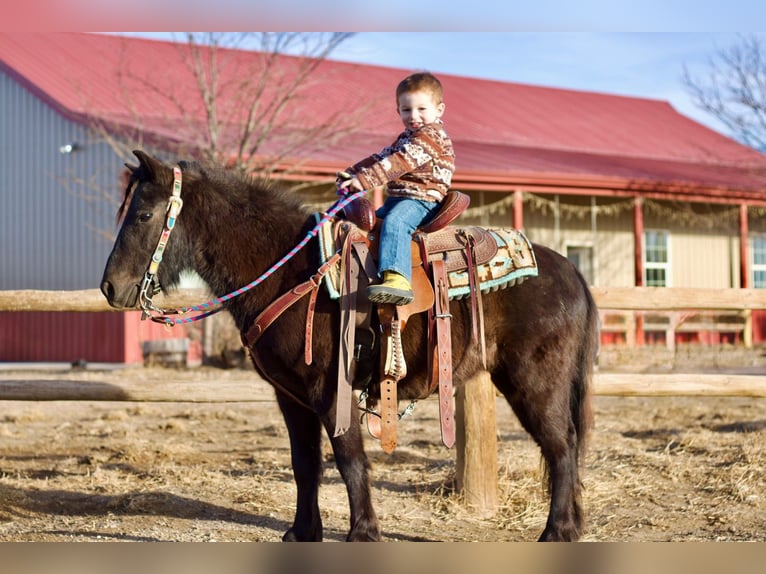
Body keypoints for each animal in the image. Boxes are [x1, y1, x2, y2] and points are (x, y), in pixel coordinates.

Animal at [100, 150, 599, 542]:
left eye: (144, 215)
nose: (110, 288)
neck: (292, 270)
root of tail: (570, 271)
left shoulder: (329, 389)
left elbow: (349, 459)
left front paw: (363, 532)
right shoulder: (290, 396)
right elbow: (306, 463)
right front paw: (303, 531)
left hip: (534, 383)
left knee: (560, 447)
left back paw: (557, 531)